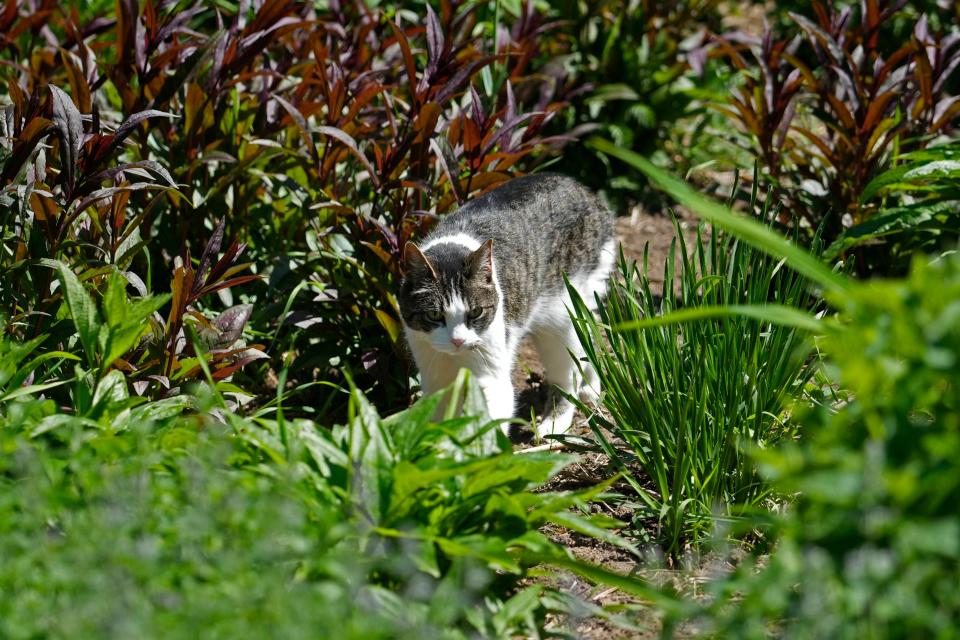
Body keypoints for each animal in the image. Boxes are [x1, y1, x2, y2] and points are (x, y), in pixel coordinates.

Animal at [398, 172, 616, 438]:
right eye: (434, 315)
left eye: (476, 312)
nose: (458, 341)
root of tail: (583, 190)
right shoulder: (435, 378)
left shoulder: (491, 378)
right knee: (589, 337)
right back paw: (591, 388)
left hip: (563, 315)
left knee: (569, 372)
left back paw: (555, 422)